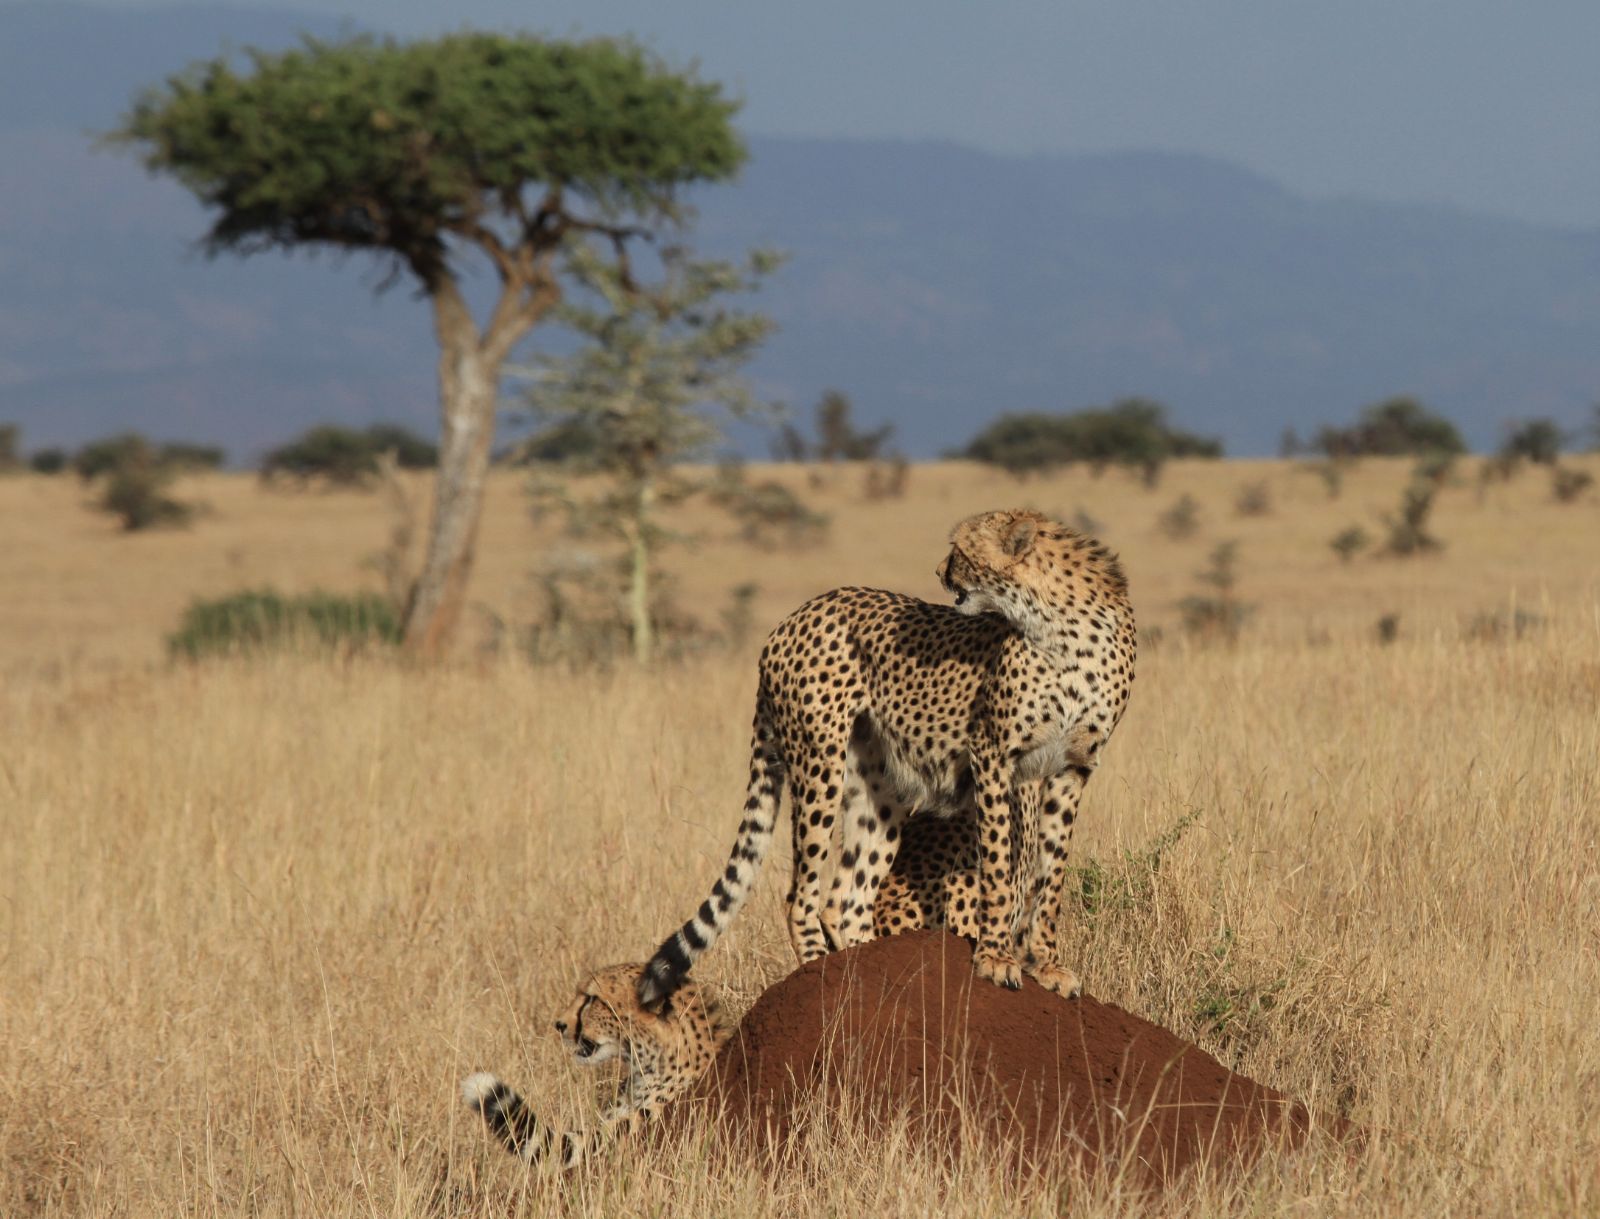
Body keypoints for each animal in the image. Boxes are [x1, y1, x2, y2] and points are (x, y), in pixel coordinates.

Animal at [637, 507, 1136, 1011]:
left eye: (958, 550)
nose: (938, 571)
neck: (1058, 625)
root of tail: (793, 618)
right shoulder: (996, 758)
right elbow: (1000, 864)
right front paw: (996, 958)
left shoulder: (1071, 768)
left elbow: (1051, 873)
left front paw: (1048, 965)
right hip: (820, 762)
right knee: (801, 895)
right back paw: (820, 969)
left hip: (880, 788)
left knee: (846, 898)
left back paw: (873, 972)